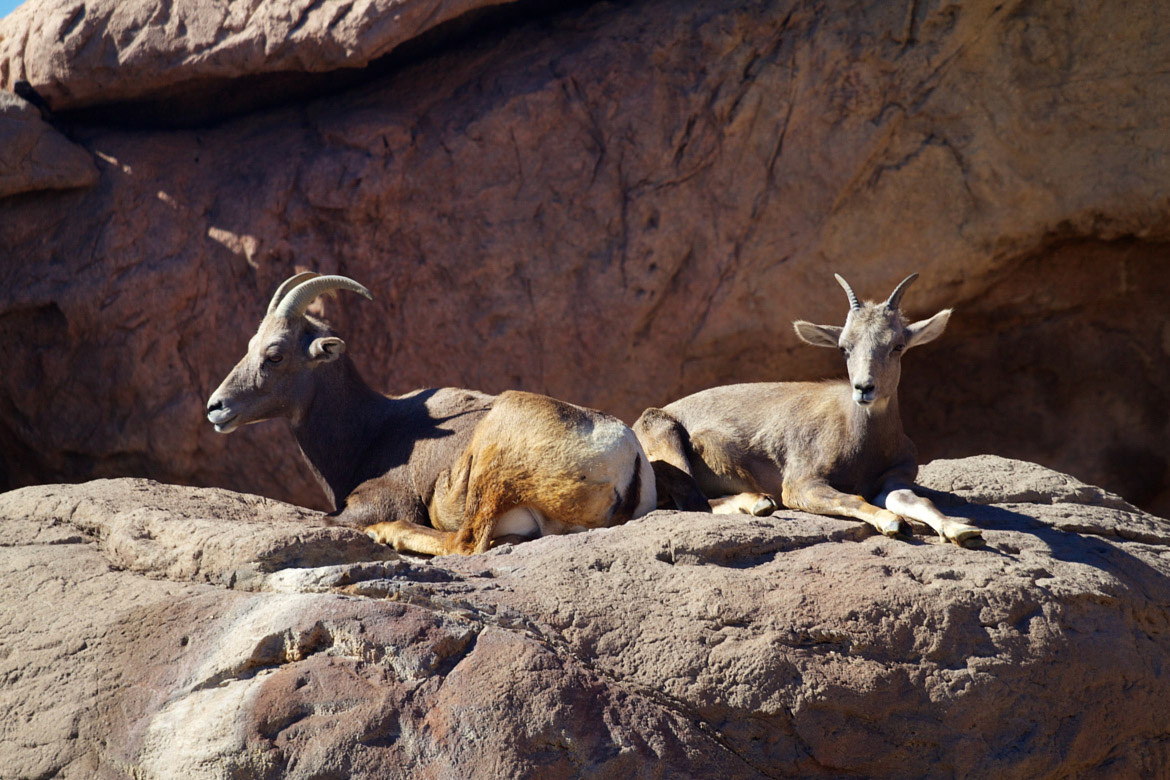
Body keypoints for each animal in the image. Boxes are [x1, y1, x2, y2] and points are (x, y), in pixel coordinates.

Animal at [206, 272, 656, 555]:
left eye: (275, 354)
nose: (216, 407)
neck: (371, 429)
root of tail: (628, 456)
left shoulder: (381, 502)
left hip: (494, 467)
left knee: (465, 543)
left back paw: (389, 535)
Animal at [633, 272, 981, 546]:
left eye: (897, 346)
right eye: (844, 347)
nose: (864, 388)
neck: (864, 444)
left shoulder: (894, 478)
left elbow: (912, 499)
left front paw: (962, 531)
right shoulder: (802, 484)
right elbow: (851, 498)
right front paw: (893, 523)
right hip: (667, 441)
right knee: (691, 501)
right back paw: (760, 503)